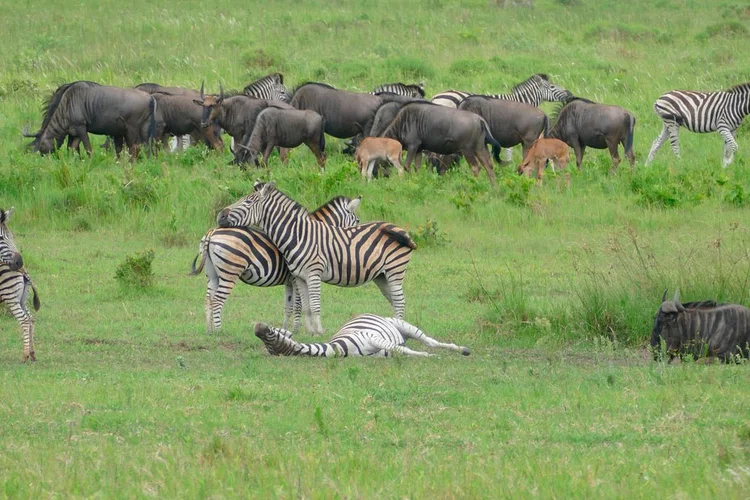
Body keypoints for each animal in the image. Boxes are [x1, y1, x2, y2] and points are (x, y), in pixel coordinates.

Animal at [0, 207, 40, 364]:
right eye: (2, 238)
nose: (19, 262)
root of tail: (23, 271)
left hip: (10, 297)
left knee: (24, 320)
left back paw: (24, 356)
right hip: (21, 298)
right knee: (30, 318)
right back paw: (32, 353)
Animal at [191, 194, 362, 332]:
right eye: (357, 221)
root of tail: (212, 232)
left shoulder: (289, 282)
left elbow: (288, 306)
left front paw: (286, 329)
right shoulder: (297, 278)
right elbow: (298, 305)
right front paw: (297, 329)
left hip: (213, 274)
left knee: (208, 299)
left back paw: (209, 331)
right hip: (230, 272)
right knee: (217, 301)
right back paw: (219, 330)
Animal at [216, 182, 418, 338]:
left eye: (248, 201)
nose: (220, 216)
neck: (298, 235)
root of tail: (398, 228)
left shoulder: (313, 274)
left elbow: (313, 304)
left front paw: (317, 331)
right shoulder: (299, 277)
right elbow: (305, 306)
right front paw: (309, 332)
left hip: (394, 271)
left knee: (399, 301)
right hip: (382, 276)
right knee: (395, 301)